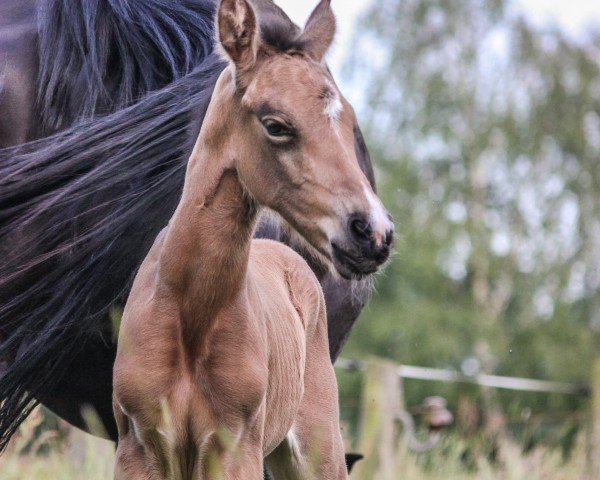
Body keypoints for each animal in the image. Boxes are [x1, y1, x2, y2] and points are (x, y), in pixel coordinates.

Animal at [112, 1, 394, 478]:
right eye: (276, 124)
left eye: (349, 122)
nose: (374, 233)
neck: (189, 312)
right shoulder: (137, 448)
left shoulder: (234, 449)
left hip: (318, 449)